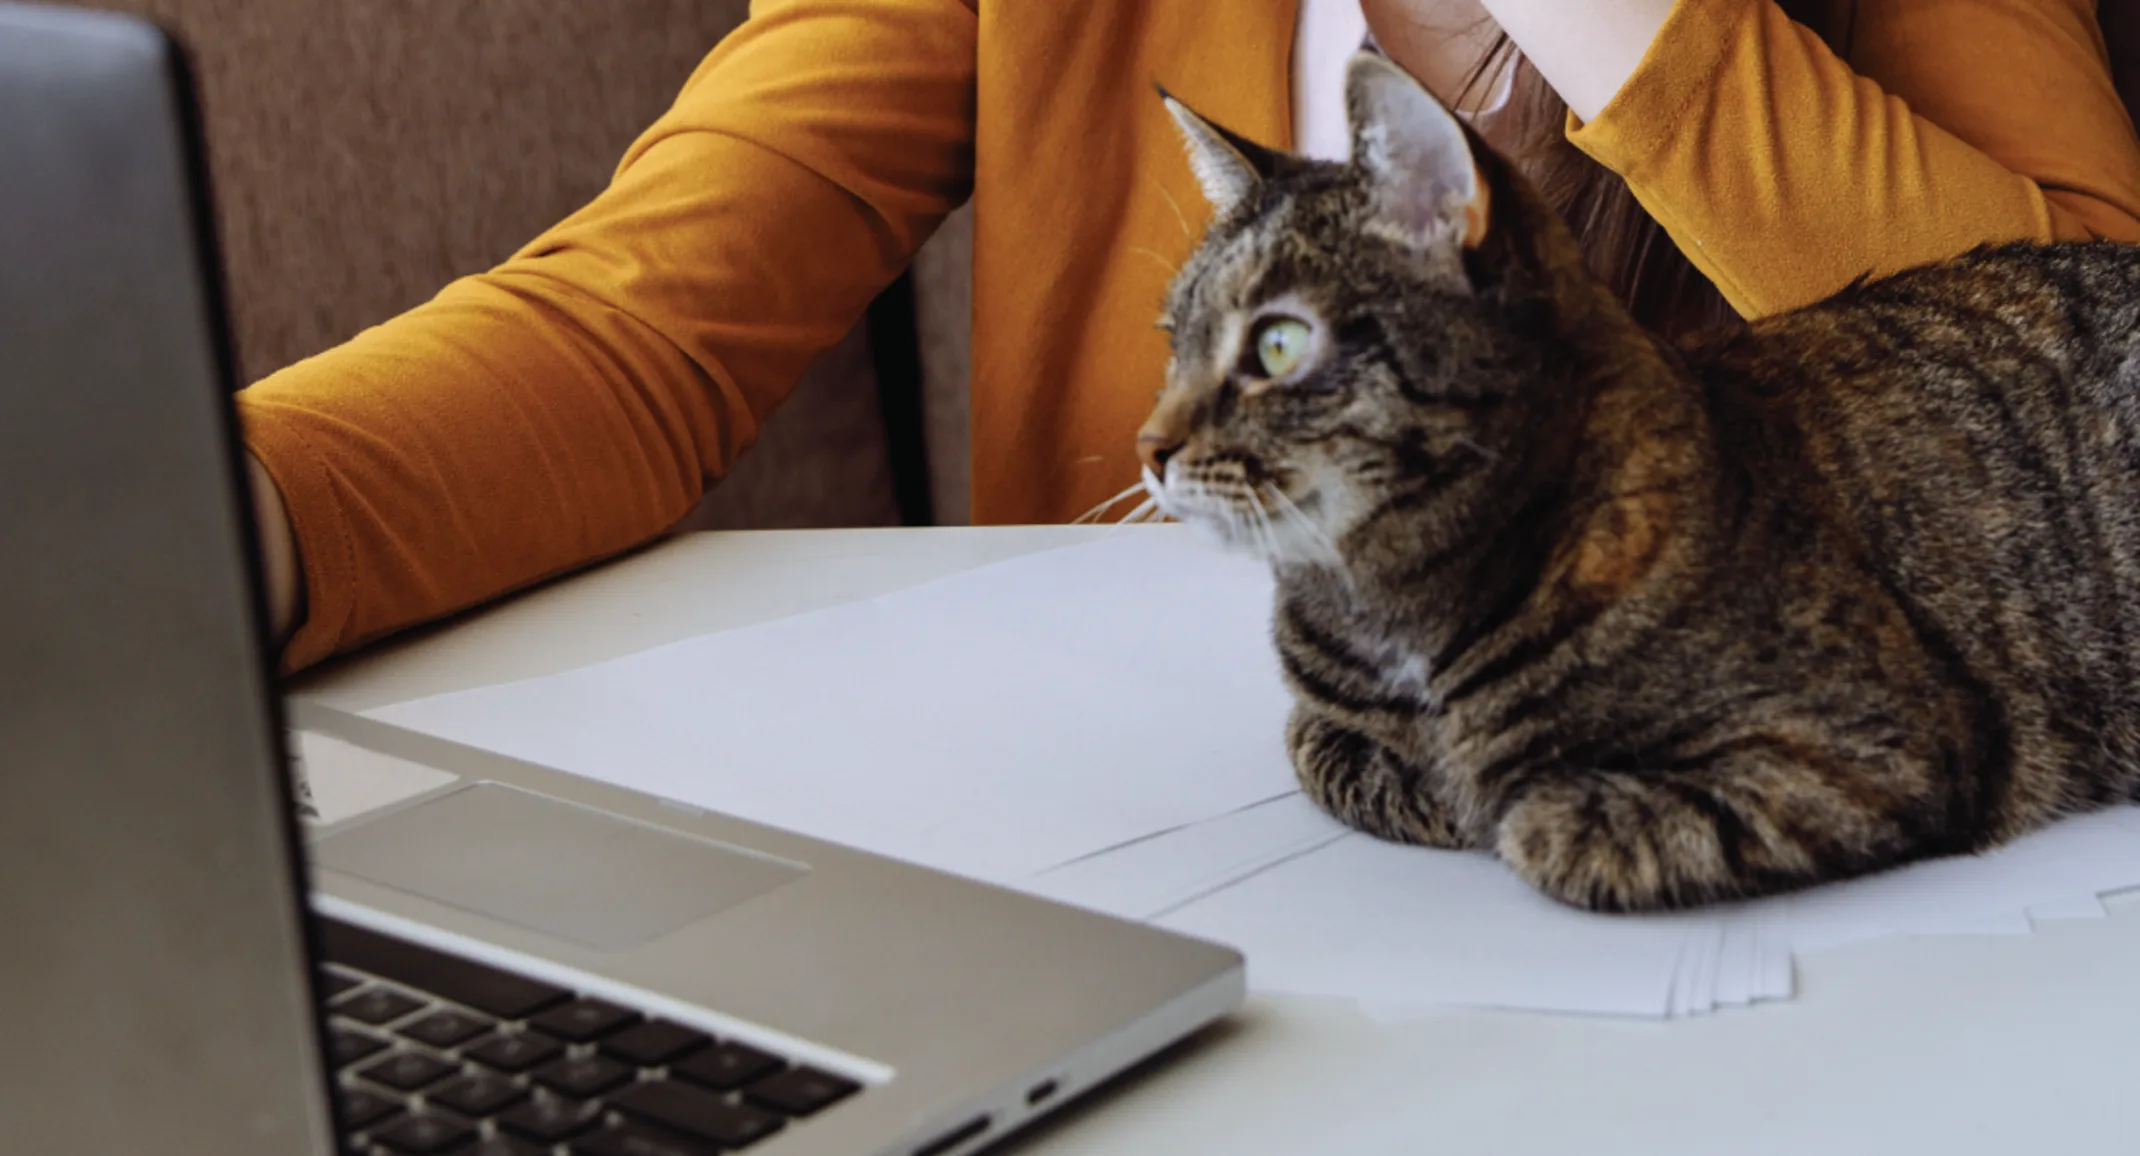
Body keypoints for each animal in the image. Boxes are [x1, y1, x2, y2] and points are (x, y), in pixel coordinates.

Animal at [1147, 51, 2140, 911]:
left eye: (1279, 345)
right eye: (1175, 341)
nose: (1148, 447)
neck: (1385, 608)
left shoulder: (1870, 752)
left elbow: (1538, 820)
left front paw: (1484, 790)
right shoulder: (1326, 726)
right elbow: (1324, 748)